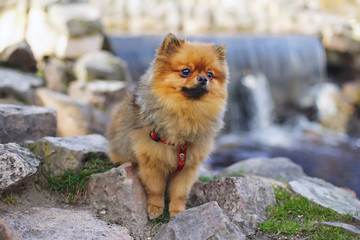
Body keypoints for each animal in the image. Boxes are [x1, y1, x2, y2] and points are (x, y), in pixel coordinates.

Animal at [107, 33, 228, 219]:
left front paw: (177, 212)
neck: (186, 110)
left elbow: (179, 193)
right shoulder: (153, 160)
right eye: (185, 71)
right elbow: (155, 190)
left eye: (210, 74)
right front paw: (155, 209)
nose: (203, 79)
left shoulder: (188, 166)